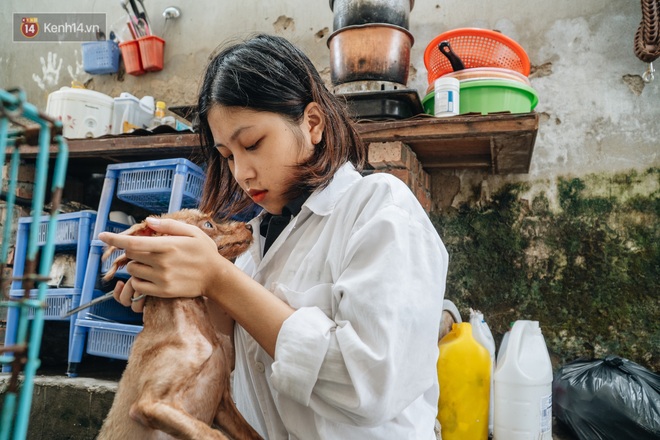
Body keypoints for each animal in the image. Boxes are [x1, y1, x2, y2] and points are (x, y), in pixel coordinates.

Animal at [96, 209, 262, 440]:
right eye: (208, 225)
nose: (249, 227)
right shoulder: (150, 404)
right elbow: (214, 435)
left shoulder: (223, 404)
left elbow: (253, 435)